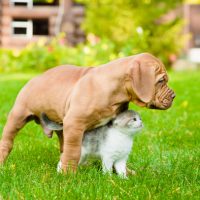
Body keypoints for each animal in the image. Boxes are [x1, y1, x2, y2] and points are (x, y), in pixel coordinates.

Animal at [0, 52, 175, 172]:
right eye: (161, 81)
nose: (173, 96)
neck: (115, 89)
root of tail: (34, 78)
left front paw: (125, 172)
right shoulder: (74, 123)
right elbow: (73, 150)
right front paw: (68, 175)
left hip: (61, 125)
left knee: (63, 146)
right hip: (18, 115)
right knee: (7, 141)